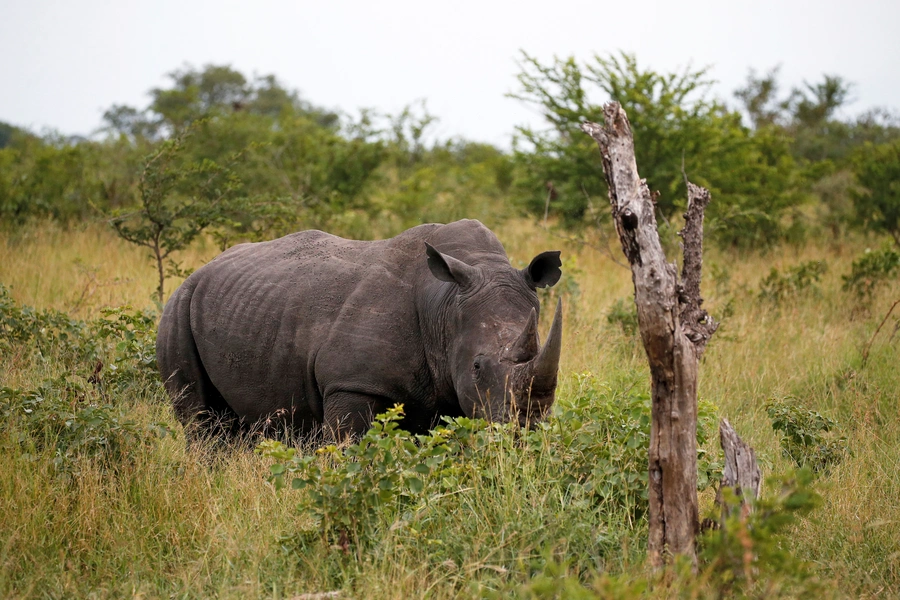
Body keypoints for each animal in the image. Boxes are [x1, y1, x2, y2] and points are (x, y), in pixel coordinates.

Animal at [156, 220, 564, 440]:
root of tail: (202, 270)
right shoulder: (352, 383)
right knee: (202, 424)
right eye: (477, 367)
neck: (444, 304)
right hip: (178, 309)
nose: (524, 429)